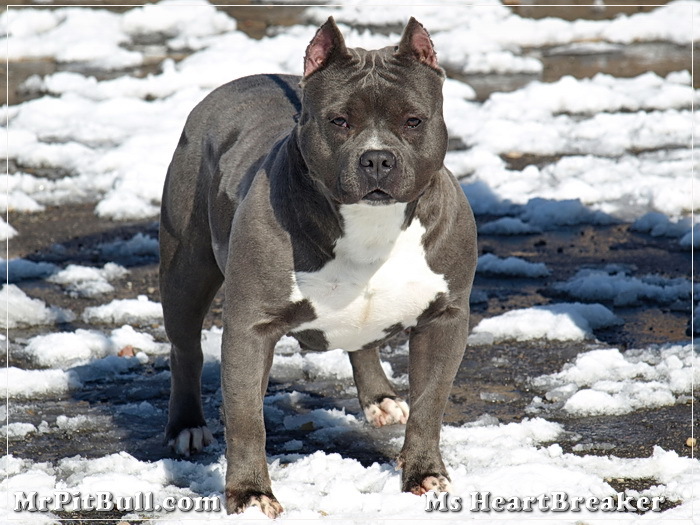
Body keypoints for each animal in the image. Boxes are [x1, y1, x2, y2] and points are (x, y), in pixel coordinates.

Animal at [159, 15, 476, 516]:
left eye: (413, 121)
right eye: (339, 121)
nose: (377, 158)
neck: (370, 225)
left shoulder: (445, 319)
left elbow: (430, 404)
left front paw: (424, 475)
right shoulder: (250, 328)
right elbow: (247, 419)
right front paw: (250, 494)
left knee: (362, 344)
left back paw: (380, 399)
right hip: (185, 272)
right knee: (185, 347)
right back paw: (186, 425)